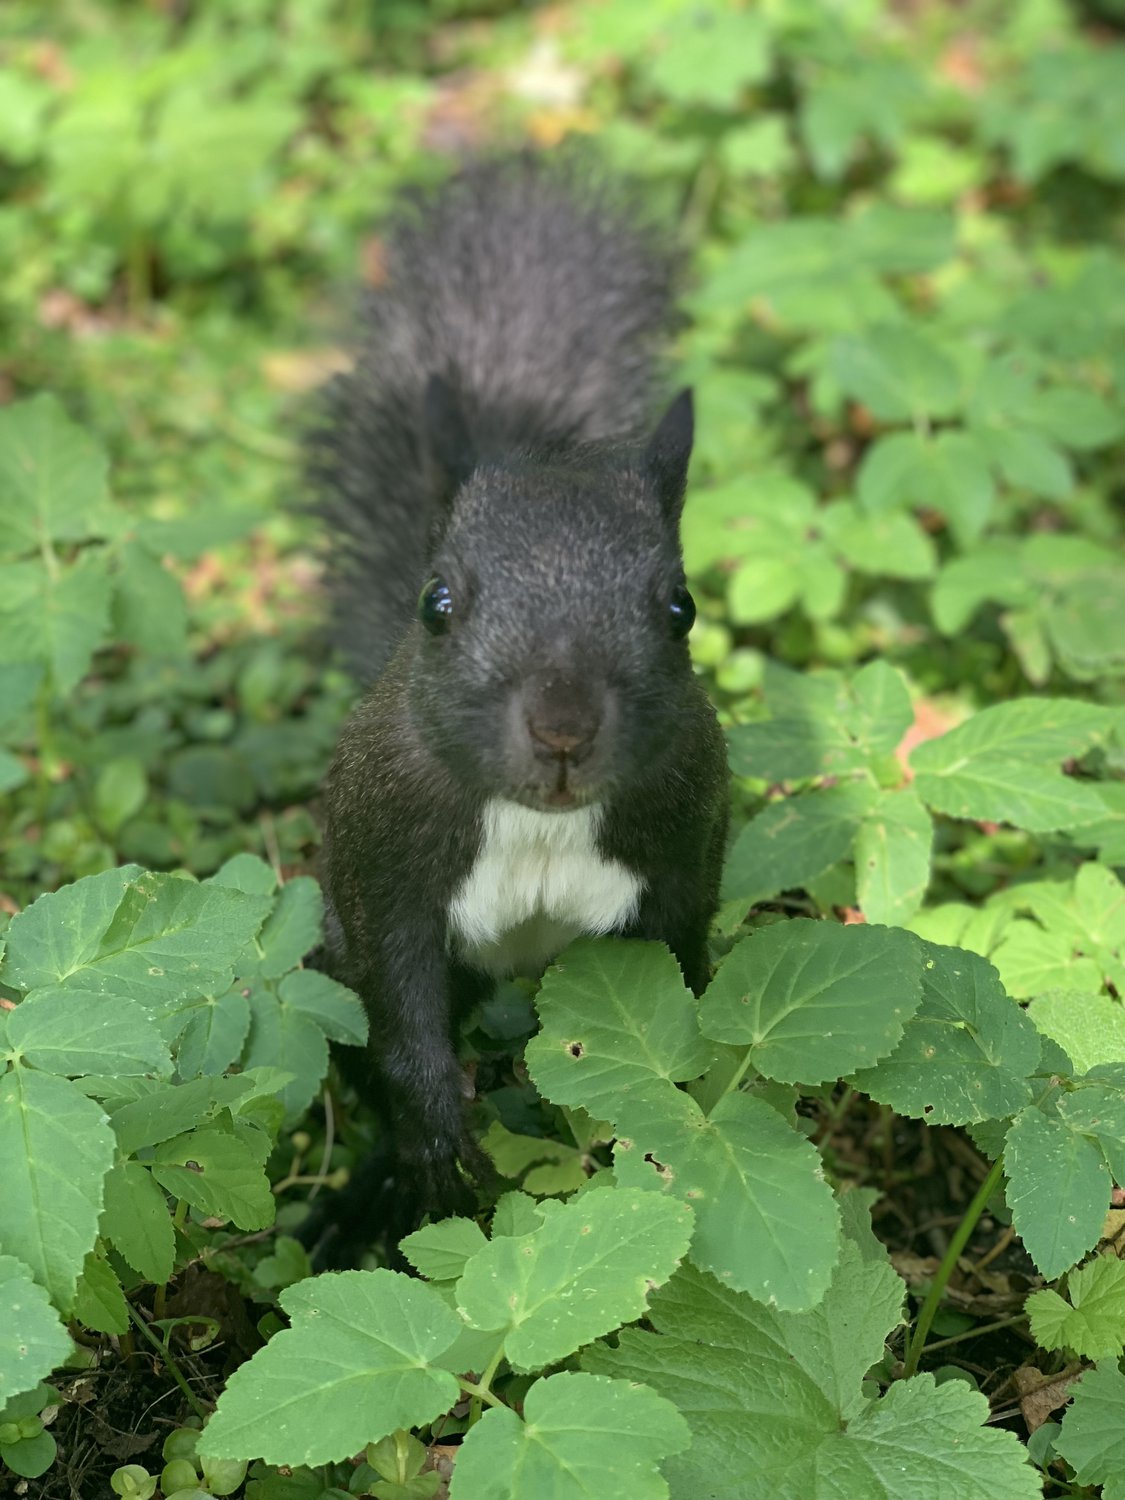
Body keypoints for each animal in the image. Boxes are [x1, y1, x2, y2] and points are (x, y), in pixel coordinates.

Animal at [309, 155, 732, 1254]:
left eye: (681, 606)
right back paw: (370, 1196)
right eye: (436, 601)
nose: (562, 731)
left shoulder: (680, 860)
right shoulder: (383, 864)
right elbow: (402, 1021)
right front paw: (438, 1155)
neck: (539, 823)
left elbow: (673, 1001)